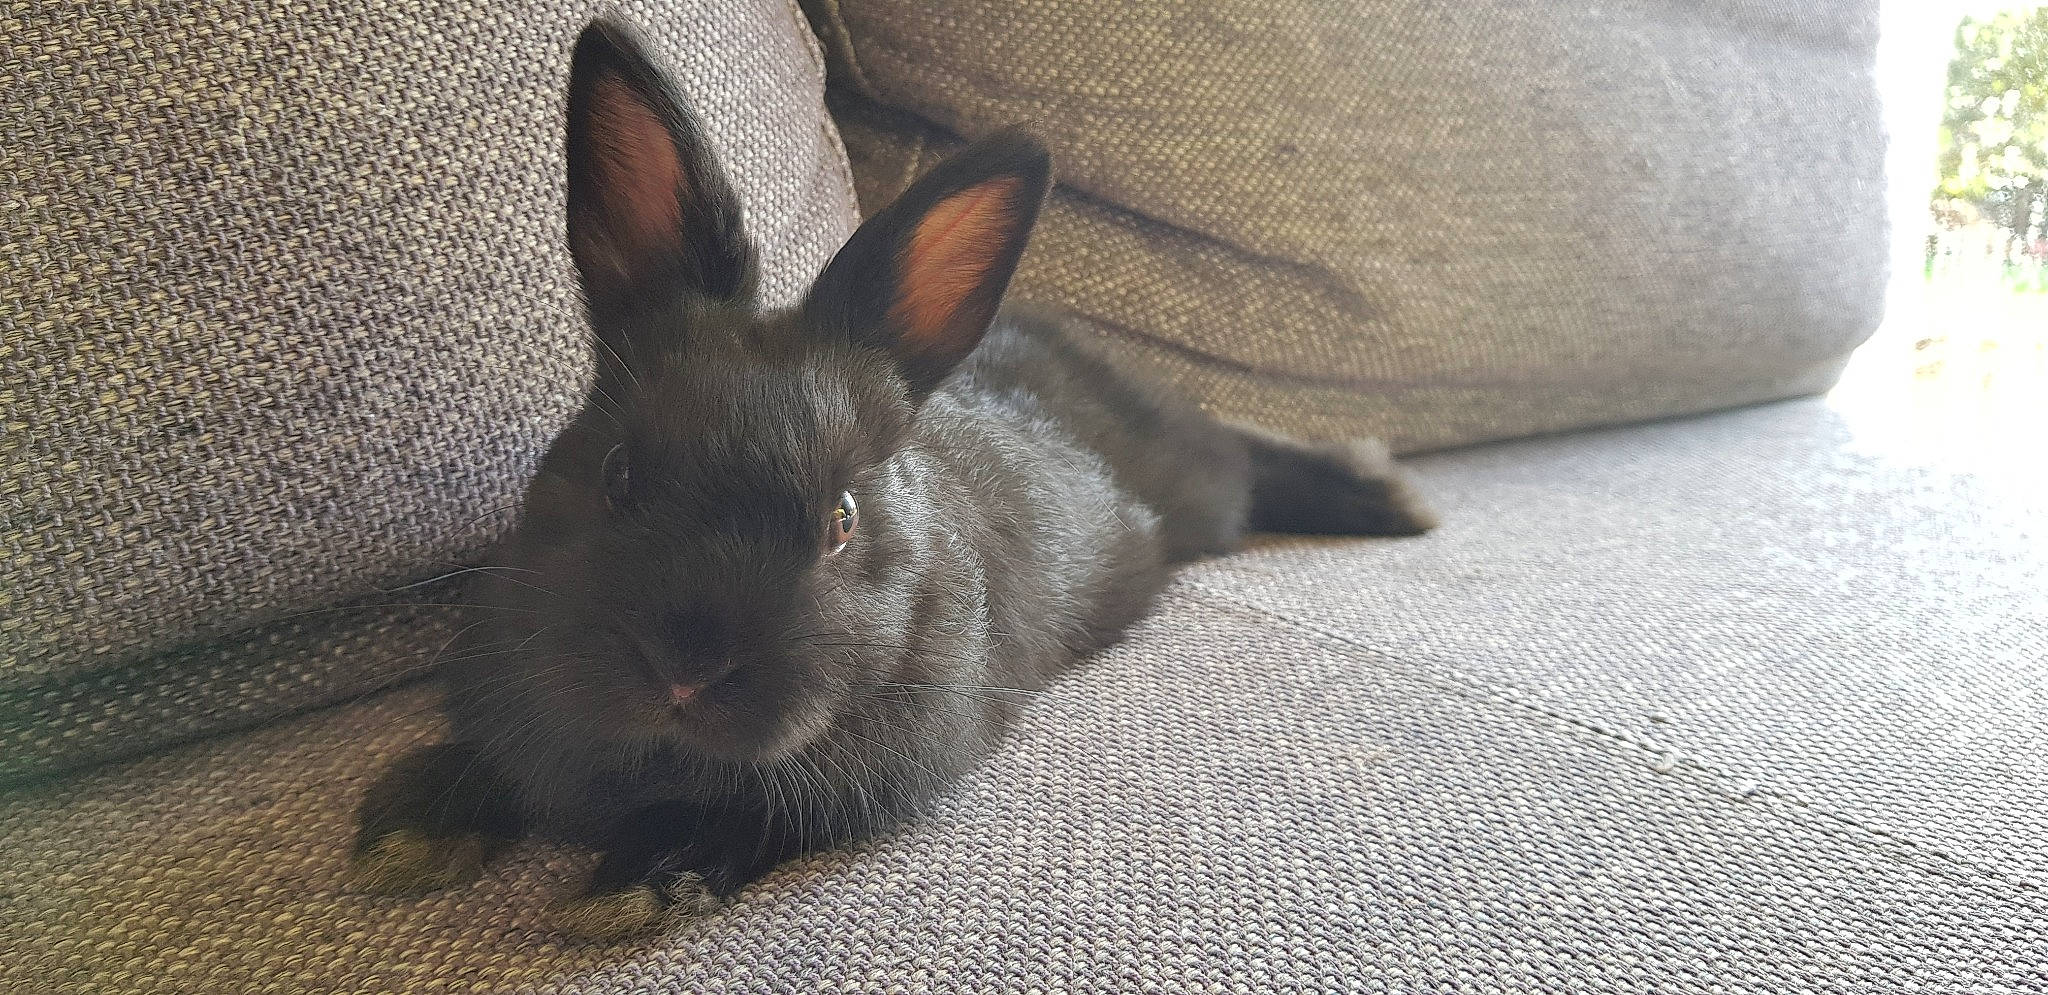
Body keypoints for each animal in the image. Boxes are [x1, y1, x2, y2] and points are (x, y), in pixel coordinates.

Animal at [349, 18, 1435, 941]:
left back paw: (1390, 499)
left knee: (1249, 451)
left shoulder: (887, 765)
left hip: (1196, 483)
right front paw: (403, 839)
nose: (685, 667)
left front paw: (629, 884)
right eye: (618, 471)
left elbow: (760, 812)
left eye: (839, 520)